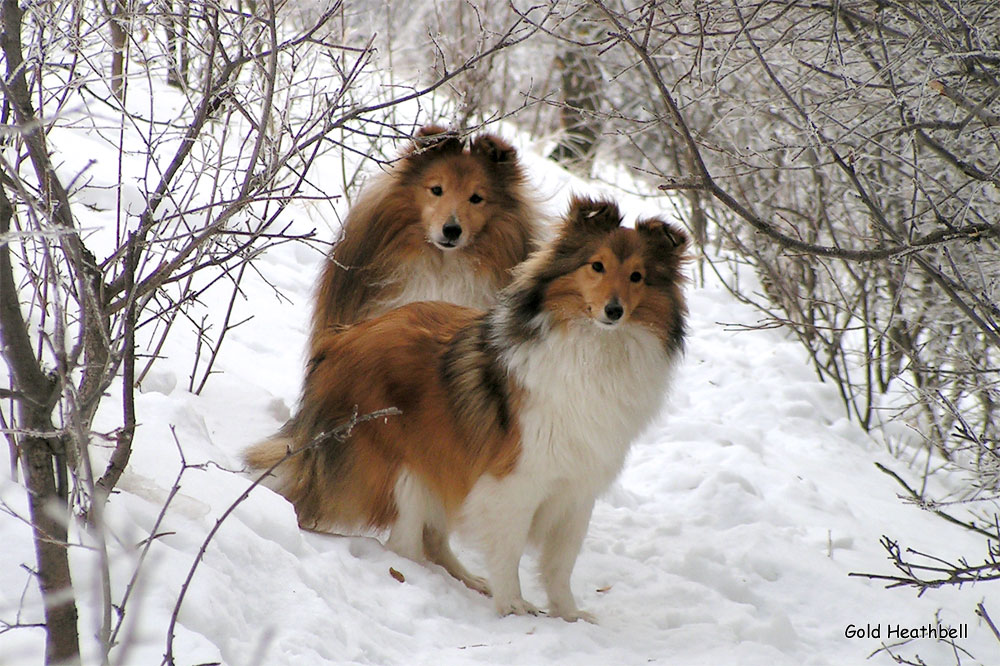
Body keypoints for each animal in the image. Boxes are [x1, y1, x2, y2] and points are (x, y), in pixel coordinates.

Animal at [247, 195, 688, 620]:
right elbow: (509, 550)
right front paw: (513, 606)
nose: (614, 311)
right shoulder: (515, 481)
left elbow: (560, 564)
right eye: (596, 266)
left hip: (442, 459)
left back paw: (469, 580)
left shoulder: (577, 490)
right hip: (402, 468)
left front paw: (569, 614)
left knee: (433, 539)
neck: (593, 348)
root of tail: (339, 339)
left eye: (638, 276)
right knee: (405, 545)